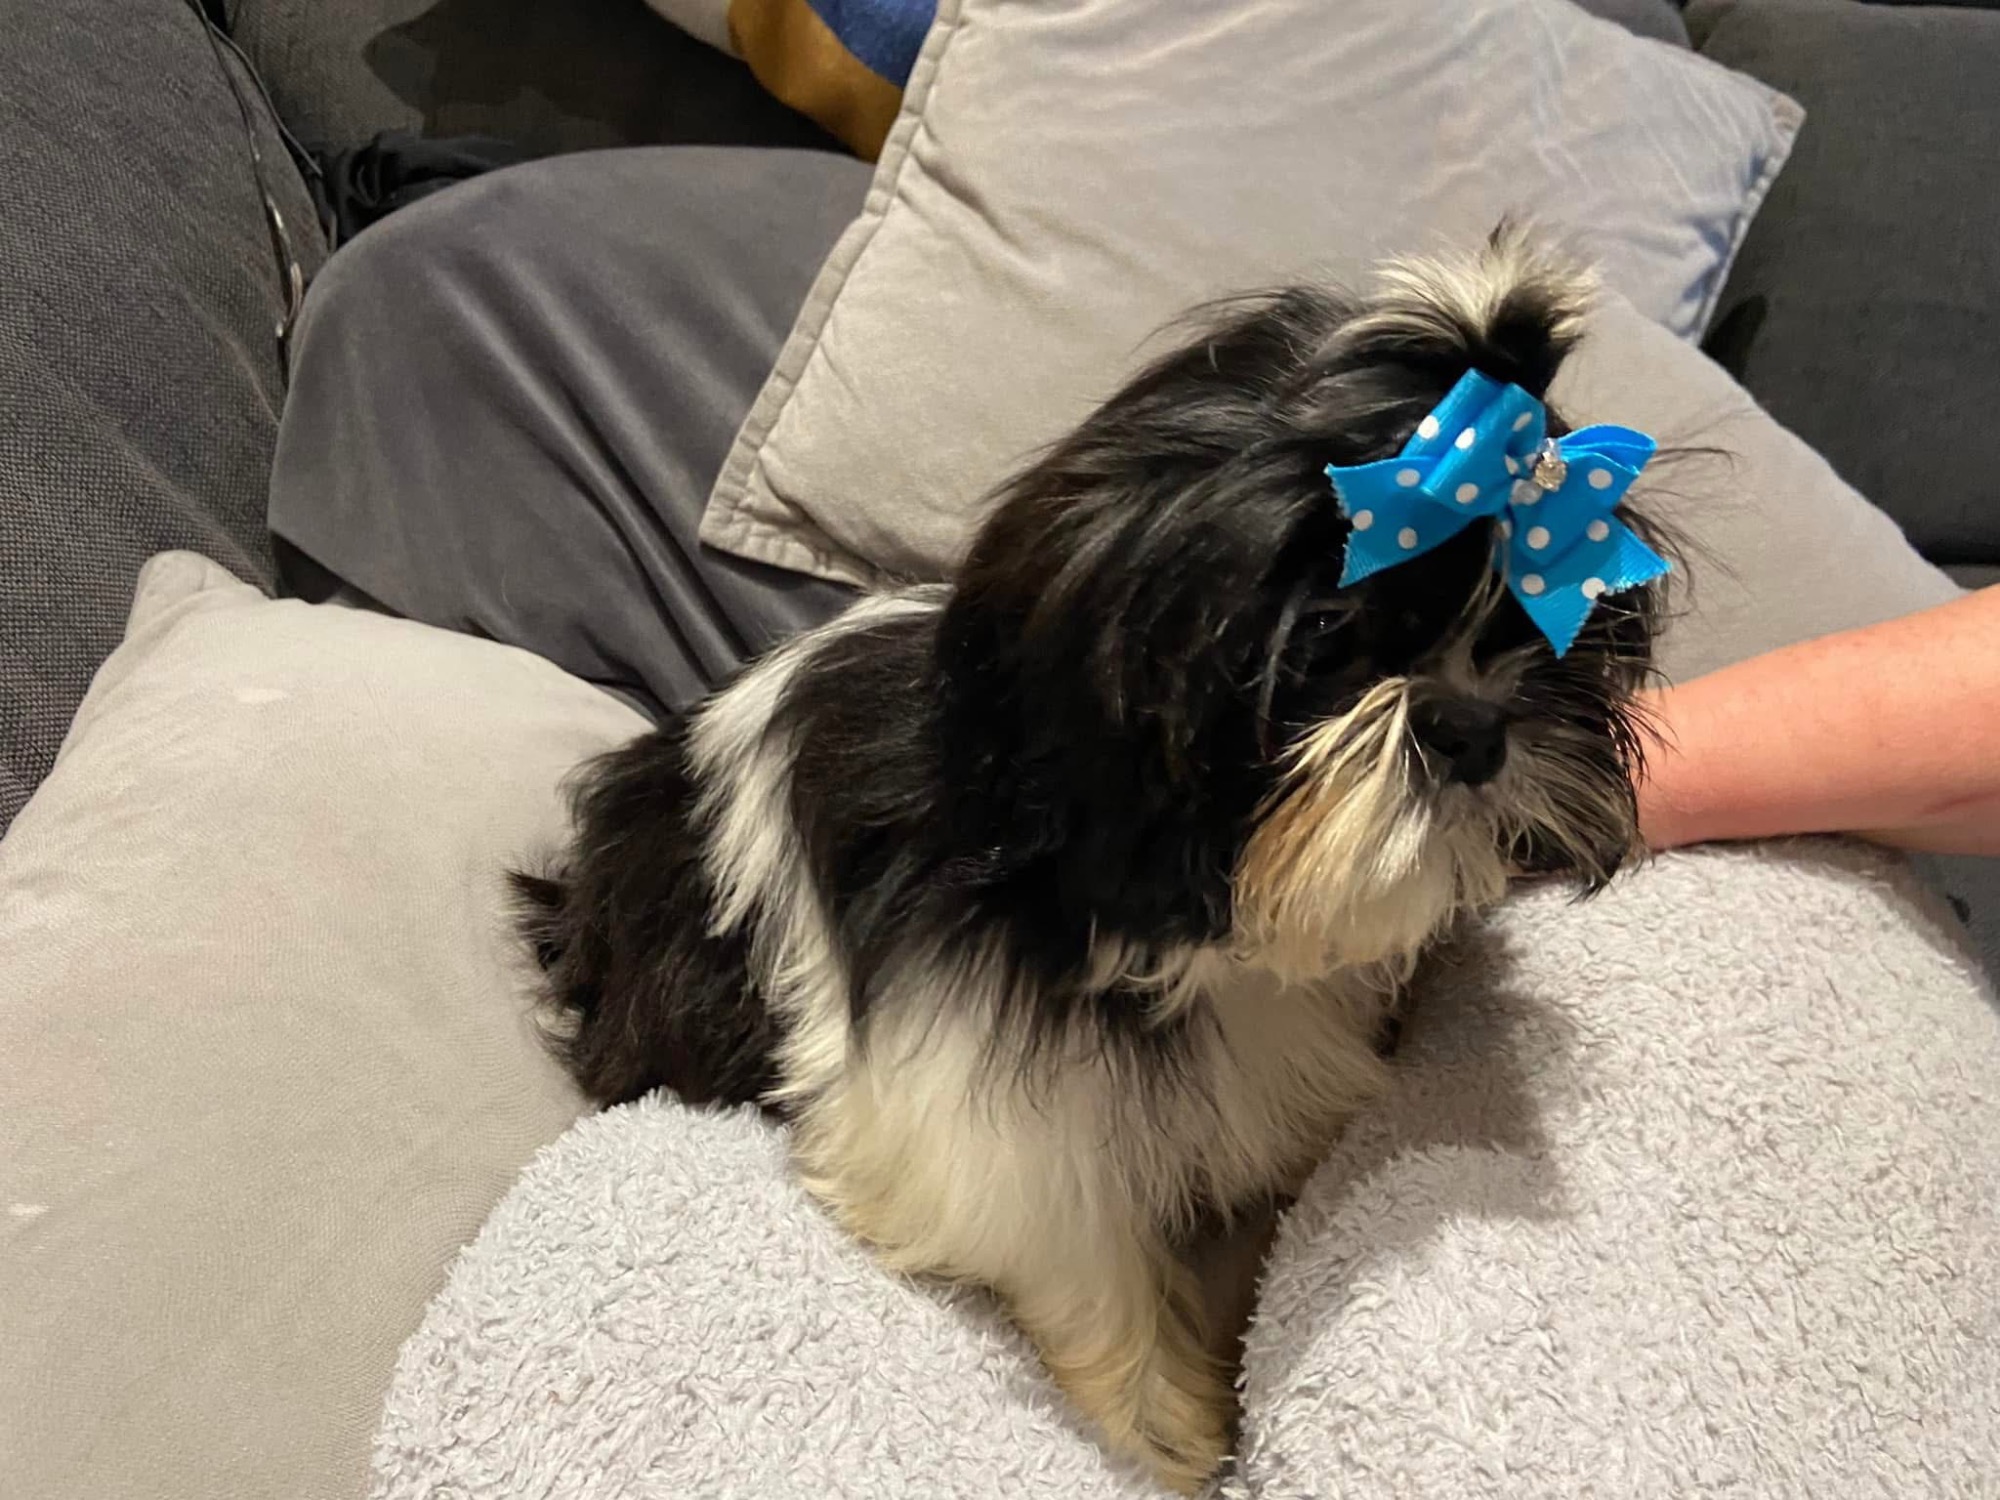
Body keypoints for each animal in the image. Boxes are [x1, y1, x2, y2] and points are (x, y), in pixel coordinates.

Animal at [514, 229, 1669, 1493]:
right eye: (1325, 635)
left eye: (1539, 624)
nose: (1469, 724)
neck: (1189, 925)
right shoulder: (984, 1120)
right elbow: (1078, 1258)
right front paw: (1164, 1431)